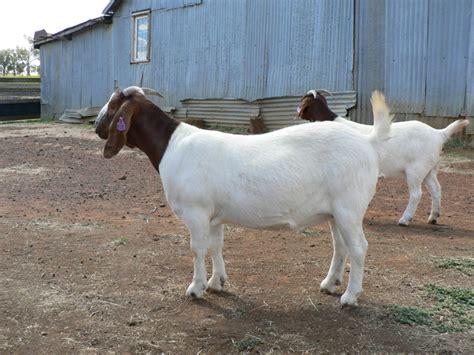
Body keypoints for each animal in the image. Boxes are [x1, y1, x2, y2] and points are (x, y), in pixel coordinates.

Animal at [95, 86, 392, 306]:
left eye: (113, 105)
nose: (97, 127)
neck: (171, 144)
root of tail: (369, 141)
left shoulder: (196, 212)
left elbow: (197, 248)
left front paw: (195, 288)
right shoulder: (213, 215)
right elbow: (216, 245)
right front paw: (217, 282)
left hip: (349, 207)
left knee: (359, 247)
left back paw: (350, 297)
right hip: (336, 212)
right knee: (341, 246)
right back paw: (330, 284)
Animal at [298, 90, 468, 227]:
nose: (298, 110)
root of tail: (439, 133)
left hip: (416, 170)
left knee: (416, 194)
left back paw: (405, 220)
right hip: (429, 170)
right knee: (436, 189)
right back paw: (433, 217)